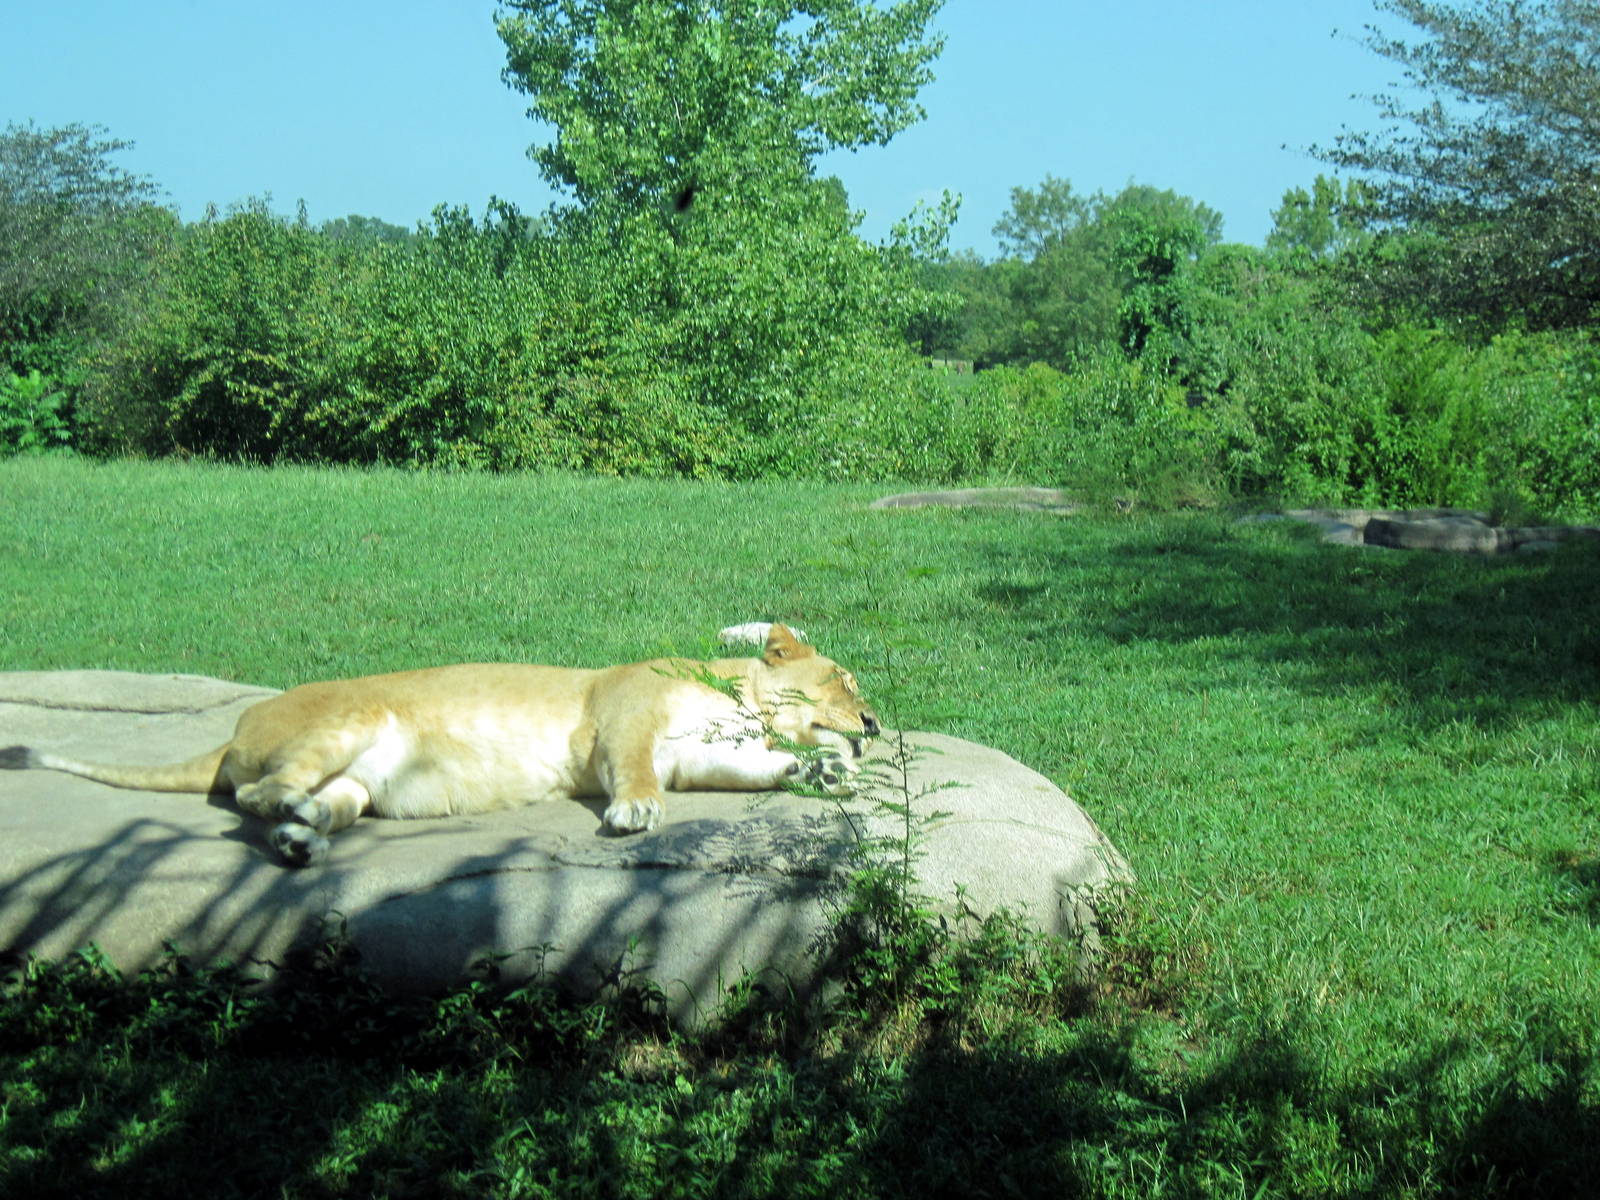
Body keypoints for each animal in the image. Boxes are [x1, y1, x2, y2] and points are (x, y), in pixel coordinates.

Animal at [0, 624, 879, 867]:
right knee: (251, 792)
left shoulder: (693, 758)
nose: (872, 727)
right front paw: (632, 815)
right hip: (353, 719)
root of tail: (233, 730)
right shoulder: (622, 722)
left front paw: (823, 770)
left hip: (360, 783)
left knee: (320, 803)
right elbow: (633, 774)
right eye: (847, 681)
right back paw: (284, 814)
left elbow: (762, 767)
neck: (741, 701)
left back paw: (299, 837)